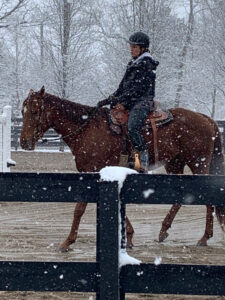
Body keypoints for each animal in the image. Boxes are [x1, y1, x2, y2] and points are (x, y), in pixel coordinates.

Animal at [20, 86, 224, 251]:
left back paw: (204, 238)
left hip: (198, 163)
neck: (87, 129)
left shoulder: (92, 172)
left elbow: (79, 209)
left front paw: (67, 242)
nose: (24, 142)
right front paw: (130, 236)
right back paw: (163, 231)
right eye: (23, 112)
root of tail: (206, 119)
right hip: (175, 164)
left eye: (35, 111)